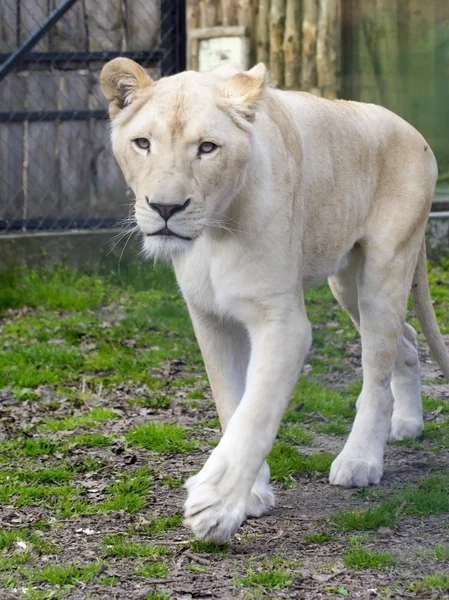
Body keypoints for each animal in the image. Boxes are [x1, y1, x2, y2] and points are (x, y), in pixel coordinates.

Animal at [101, 59, 448, 544]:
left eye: (207, 148)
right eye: (142, 143)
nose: (166, 208)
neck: (214, 233)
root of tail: (412, 128)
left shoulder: (281, 322)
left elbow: (257, 413)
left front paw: (216, 505)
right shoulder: (210, 318)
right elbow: (232, 403)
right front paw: (250, 494)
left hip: (384, 268)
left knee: (376, 374)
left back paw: (360, 460)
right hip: (347, 284)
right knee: (408, 338)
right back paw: (408, 424)